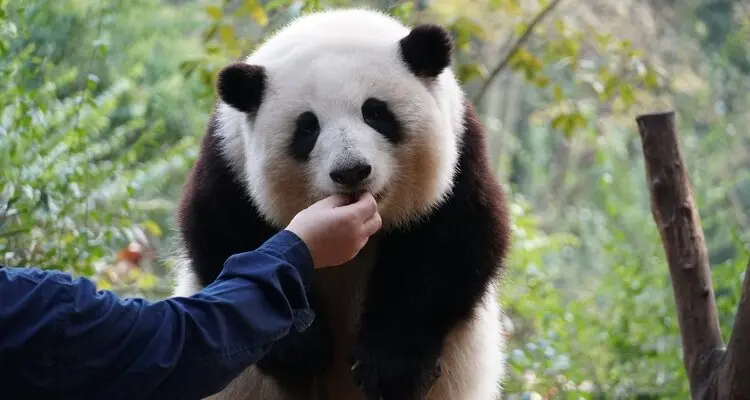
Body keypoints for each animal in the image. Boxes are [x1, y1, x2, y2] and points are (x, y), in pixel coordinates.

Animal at [170, 7, 512, 400]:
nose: (351, 171)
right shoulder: (230, 163)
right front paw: (299, 348)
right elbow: (226, 237)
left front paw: (392, 366)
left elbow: (449, 249)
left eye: (376, 113)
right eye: (307, 127)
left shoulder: (459, 157)